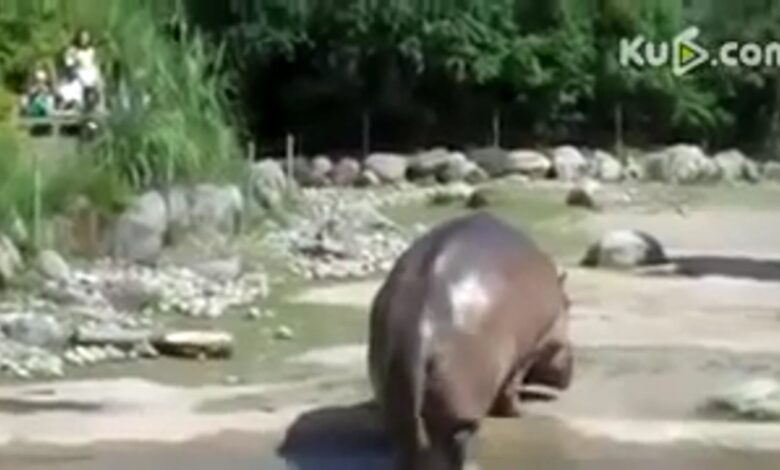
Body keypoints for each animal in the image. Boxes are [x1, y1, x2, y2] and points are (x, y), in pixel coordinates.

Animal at [368, 212, 572, 470]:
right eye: (570, 304)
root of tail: (420, 323)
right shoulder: (529, 352)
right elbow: (512, 385)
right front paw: (520, 412)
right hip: (462, 410)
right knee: (459, 439)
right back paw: (472, 463)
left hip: (397, 403)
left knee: (407, 441)